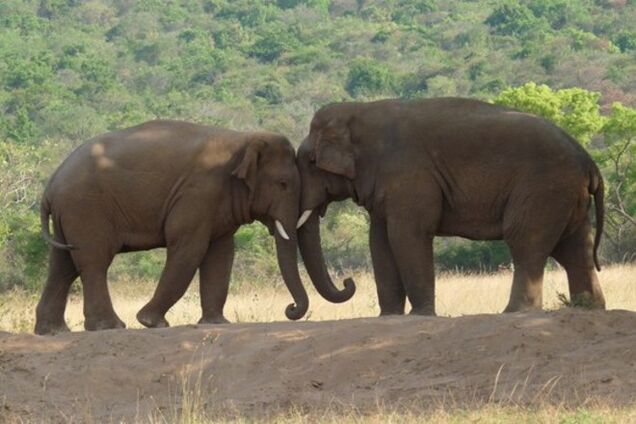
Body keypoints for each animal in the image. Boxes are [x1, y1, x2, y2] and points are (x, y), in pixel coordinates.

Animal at [36, 119, 310, 334]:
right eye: (283, 184)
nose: (290, 308)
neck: (242, 137)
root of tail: (50, 188)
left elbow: (221, 255)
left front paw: (217, 323)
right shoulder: (198, 192)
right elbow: (189, 248)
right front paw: (150, 322)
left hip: (69, 215)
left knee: (63, 265)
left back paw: (53, 331)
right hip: (85, 209)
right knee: (93, 262)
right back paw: (110, 326)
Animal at [296, 97, 608, 314]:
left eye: (310, 163)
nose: (348, 282)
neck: (361, 111)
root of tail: (589, 162)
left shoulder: (409, 174)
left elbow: (407, 235)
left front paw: (420, 316)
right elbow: (380, 242)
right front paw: (389, 317)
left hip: (544, 189)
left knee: (525, 242)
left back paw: (514, 312)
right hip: (566, 196)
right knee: (574, 250)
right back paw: (588, 308)